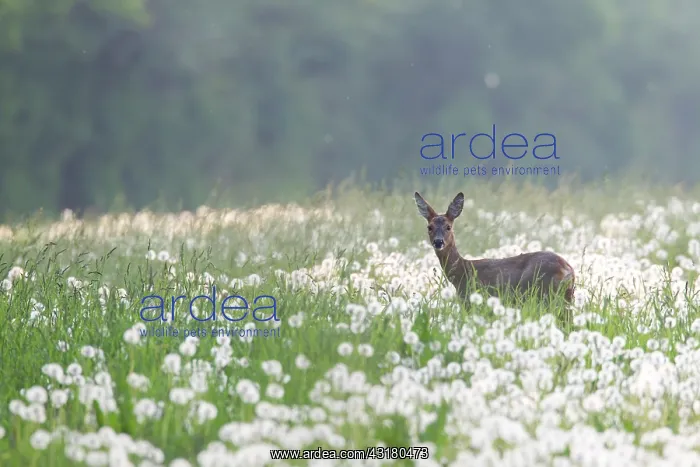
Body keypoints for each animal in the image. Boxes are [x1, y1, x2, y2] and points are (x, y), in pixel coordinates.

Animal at [414, 191, 576, 309]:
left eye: (448, 226)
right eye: (429, 227)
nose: (438, 242)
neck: (462, 272)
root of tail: (568, 269)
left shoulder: (471, 300)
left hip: (544, 294)